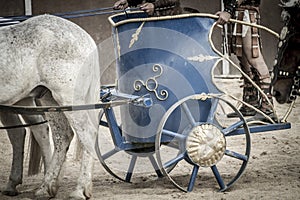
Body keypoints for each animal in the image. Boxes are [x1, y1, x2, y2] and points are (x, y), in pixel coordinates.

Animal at [0, 14, 101, 198]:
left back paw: (80, 189)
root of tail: (86, 38)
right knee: (63, 135)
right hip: (50, 99)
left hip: (68, 99)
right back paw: (47, 185)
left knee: (87, 133)